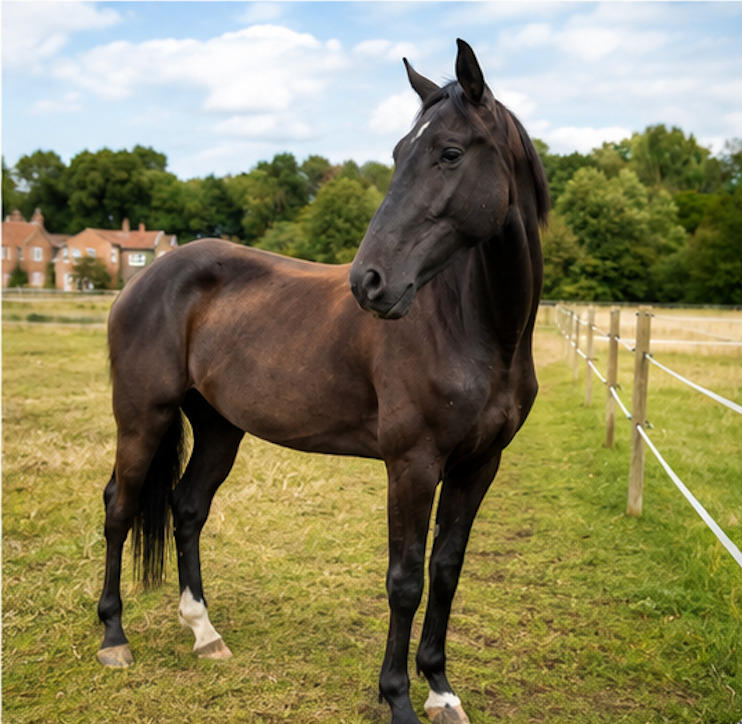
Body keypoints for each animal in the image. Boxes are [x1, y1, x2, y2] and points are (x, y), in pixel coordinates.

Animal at [97, 39, 549, 724]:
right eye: (397, 153)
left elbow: (446, 570)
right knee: (119, 507)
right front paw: (398, 699)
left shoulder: (480, 465)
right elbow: (405, 580)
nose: (370, 282)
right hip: (143, 417)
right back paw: (114, 637)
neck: (475, 328)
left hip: (220, 428)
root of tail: (147, 276)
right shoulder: (413, 465)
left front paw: (441, 690)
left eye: (449, 153)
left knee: (187, 507)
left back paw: (204, 632)